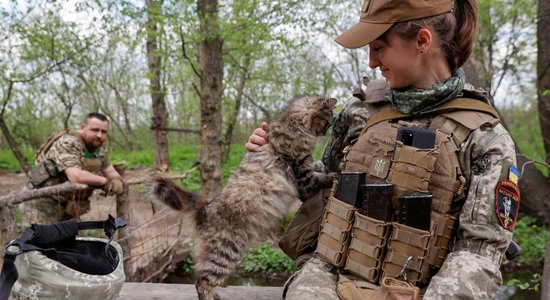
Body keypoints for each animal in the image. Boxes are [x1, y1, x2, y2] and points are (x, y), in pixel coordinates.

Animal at [153, 96, 338, 300]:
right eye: (327, 121)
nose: (326, 131)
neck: (292, 126)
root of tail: (207, 205)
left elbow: (318, 168)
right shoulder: (302, 176)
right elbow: (321, 177)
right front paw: (335, 174)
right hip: (224, 252)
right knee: (202, 282)